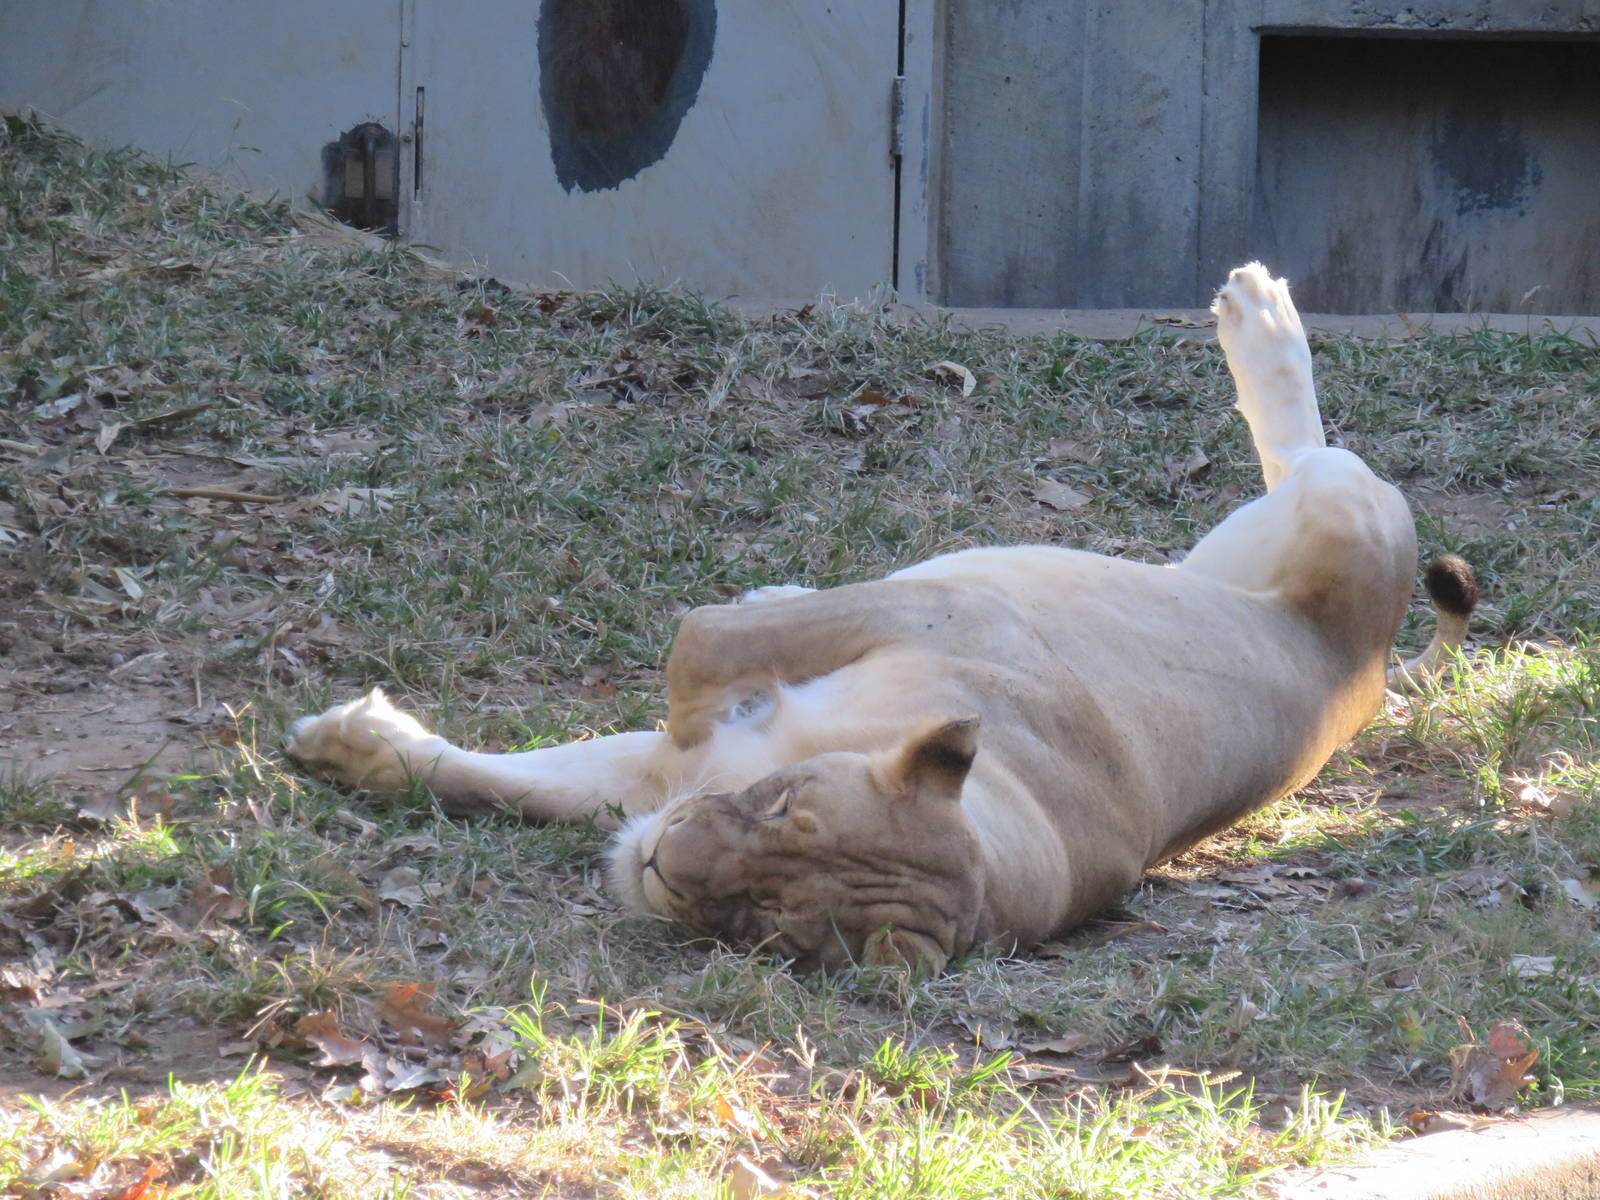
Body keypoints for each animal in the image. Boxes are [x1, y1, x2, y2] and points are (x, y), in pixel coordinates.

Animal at [287, 264, 1475, 975]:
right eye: (780, 805)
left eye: (767, 929)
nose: (663, 864)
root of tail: (1370, 669)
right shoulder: (934, 607)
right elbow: (551, 747)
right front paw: (348, 747)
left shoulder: (679, 768)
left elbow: (659, 680)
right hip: (1260, 540)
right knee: (1300, 446)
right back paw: (1256, 309)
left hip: (1340, 519)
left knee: (1309, 448)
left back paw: (1259, 318)